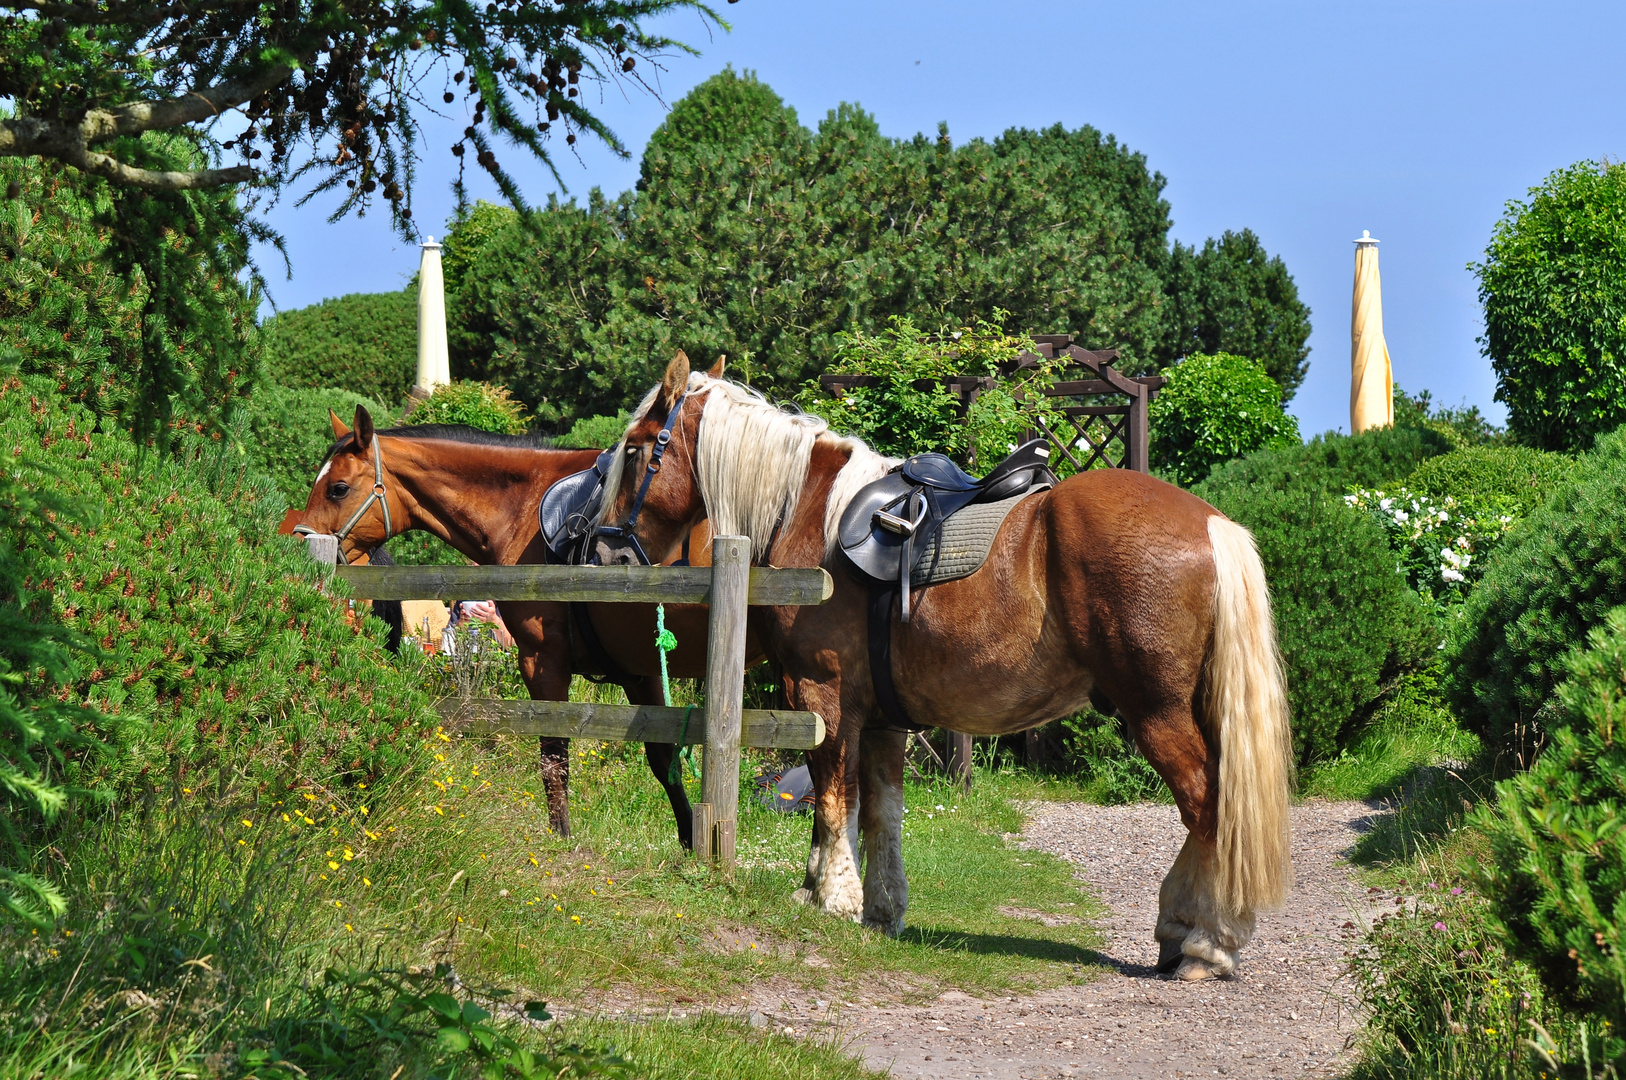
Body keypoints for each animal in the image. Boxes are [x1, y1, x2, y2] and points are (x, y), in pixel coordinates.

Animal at [294, 400, 747, 845]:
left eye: (338, 488)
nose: (297, 543)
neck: (525, 507)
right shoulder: (638, 668)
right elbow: (661, 754)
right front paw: (690, 841)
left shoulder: (542, 660)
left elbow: (554, 756)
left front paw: (560, 838)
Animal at [598, 357, 1294, 982]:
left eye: (634, 451)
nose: (606, 551)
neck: (808, 512)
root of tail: (1211, 523)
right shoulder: (880, 720)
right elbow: (881, 812)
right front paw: (879, 909)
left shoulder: (823, 699)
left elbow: (833, 800)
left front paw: (832, 898)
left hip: (1155, 712)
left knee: (1206, 806)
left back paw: (1205, 944)